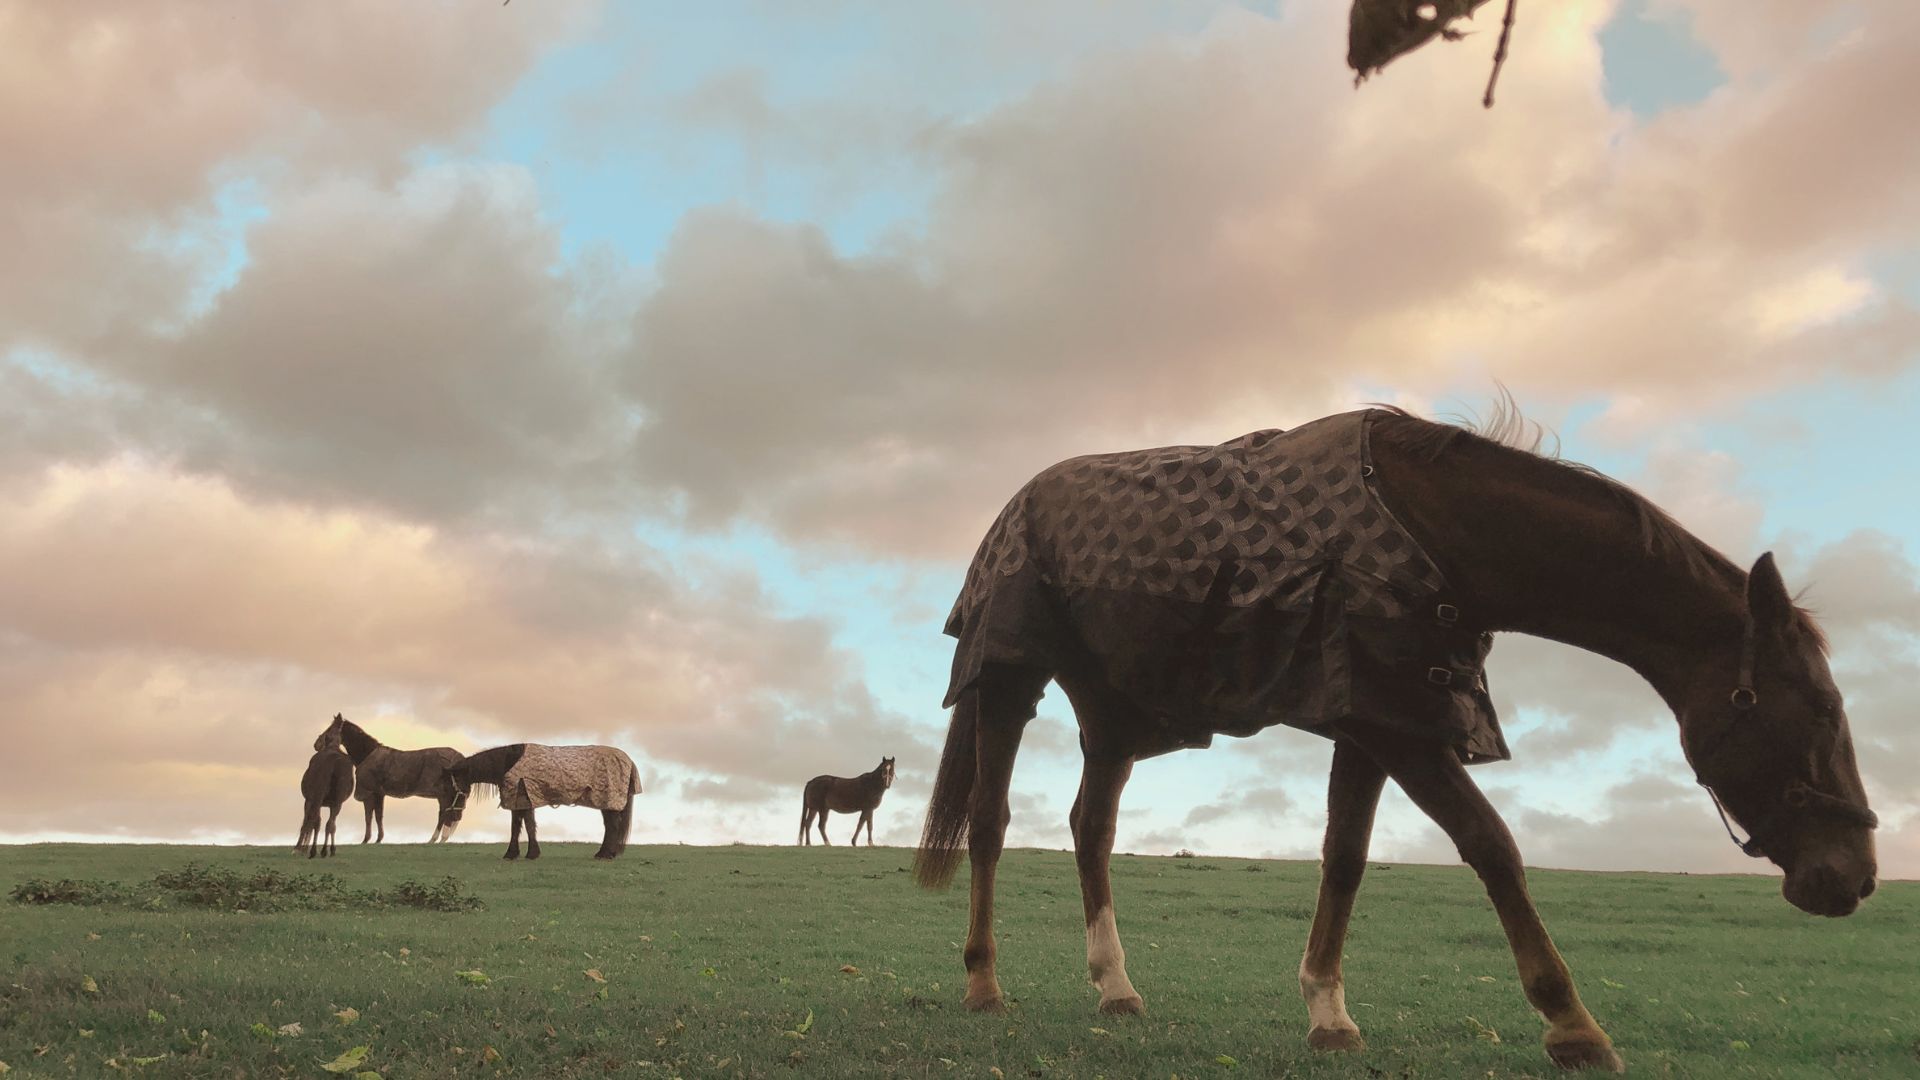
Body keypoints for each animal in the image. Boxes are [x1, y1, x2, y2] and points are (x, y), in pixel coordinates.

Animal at [314, 714, 464, 843]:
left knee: (445, 815)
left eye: (330, 728)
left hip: (444, 794)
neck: (367, 753)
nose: (316, 744)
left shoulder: (368, 792)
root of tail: (458, 757)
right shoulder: (379, 793)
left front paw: (366, 840)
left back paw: (439, 839)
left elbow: (368, 817)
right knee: (445, 814)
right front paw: (378, 839)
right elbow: (379, 816)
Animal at [444, 743, 642, 860]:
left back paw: (605, 854)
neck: (509, 762)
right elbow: (520, 826)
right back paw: (606, 853)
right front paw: (517, 853)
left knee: (612, 826)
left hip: (608, 801)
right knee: (611, 826)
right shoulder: (521, 802)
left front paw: (527, 854)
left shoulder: (522, 800)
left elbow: (525, 826)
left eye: (449, 785)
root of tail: (629, 760)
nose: (450, 814)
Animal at [913, 406, 1876, 1073]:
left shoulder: (1377, 716)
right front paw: (1571, 1024)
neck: (1438, 535)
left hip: (1113, 711)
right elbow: (1492, 846)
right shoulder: (1398, 724)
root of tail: (1015, 503)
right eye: (1818, 710)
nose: (1855, 877)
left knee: (1091, 829)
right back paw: (983, 982)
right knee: (993, 825)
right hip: (1009, 682)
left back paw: (1116, 987)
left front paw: (1328, 1014)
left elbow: (1345, 858)